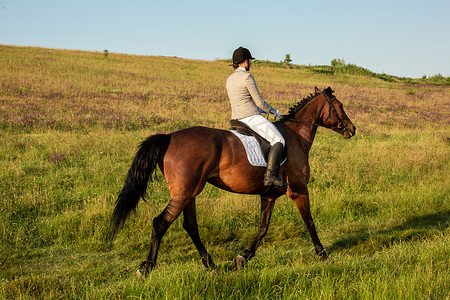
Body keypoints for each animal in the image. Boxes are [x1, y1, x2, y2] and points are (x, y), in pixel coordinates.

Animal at [109, 85, 356, 274]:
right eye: (340, 107)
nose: (352, 129)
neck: (296, 136)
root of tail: (169, 137)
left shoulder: (269, 195)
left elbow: (263, 228)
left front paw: (243, 257)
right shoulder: (299, 189)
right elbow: (310, 222)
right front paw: (323, 254)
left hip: (189, 193)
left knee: (190, 226)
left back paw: (211, 265)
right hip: (183, 193)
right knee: (160, 223)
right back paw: (148, 267)